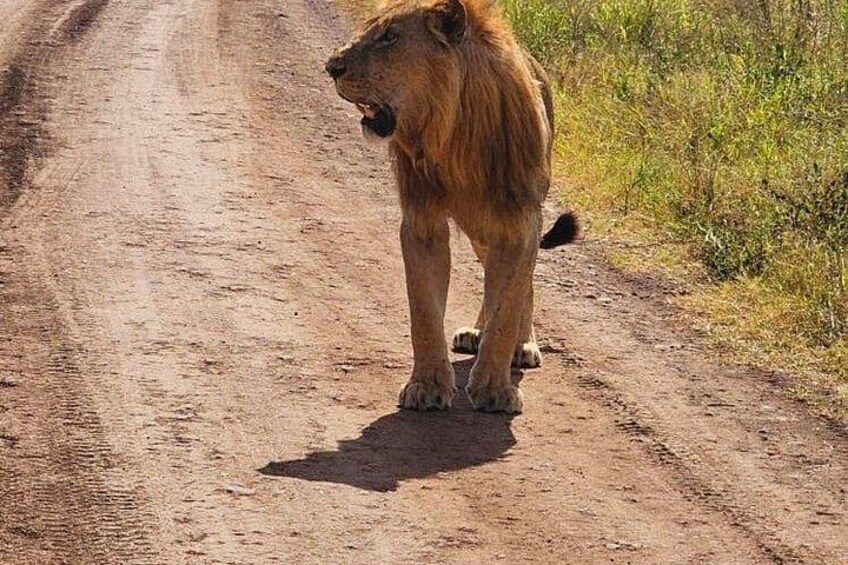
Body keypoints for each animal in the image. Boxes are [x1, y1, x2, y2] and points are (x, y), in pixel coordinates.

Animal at [326, 0, 577, 413]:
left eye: (389, 37)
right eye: (371, 30)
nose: (331, 66)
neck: (452, 133)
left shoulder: (520, 221)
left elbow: (507, 306)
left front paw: (495, 388)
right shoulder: (421, 220)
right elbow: (424, 311)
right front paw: (426, 385)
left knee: (522, 283)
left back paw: (522, 344)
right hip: (480, 232)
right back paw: (475, 332)